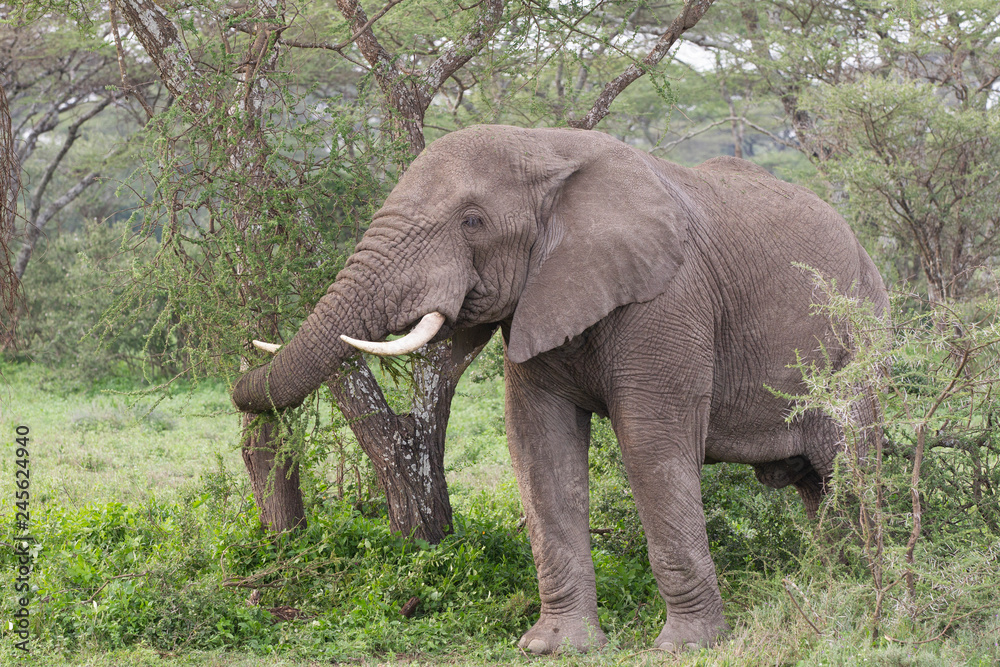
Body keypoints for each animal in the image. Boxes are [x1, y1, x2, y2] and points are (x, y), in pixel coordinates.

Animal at [234, 124, 892, 652]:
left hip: (863, 336)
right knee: (818, 485)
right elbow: (539, 450)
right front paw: (554, 647)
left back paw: (865, 595)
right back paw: (837, 586)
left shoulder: (669, 299)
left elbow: (652, 448)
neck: (546, 148)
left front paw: (686, 647)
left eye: (472, 220)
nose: (245, 396)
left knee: (848, 465)